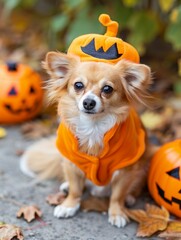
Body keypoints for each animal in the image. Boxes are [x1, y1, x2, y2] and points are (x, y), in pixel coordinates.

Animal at [36, 51, 153, 228]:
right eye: (78, 85)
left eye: (107, 89)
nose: (89, 102)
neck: (93, 126)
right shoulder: (71, 162)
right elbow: (75, 189)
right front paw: (69, 205)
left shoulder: (125, 169)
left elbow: (117, 195)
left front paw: (117, 212)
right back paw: (66, 187)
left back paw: (129, 198)